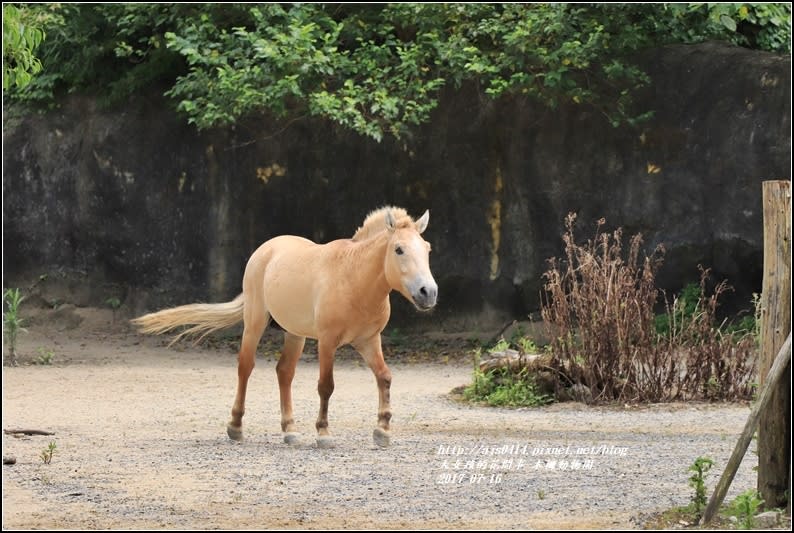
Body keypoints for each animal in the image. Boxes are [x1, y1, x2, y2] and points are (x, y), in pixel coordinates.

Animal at [132, 206, 436, 446]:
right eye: (399, 249)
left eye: (427, 249)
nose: (428, 293)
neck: (354, 279)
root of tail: (266, 249)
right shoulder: (327, 341)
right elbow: (326, 385)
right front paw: (323, 434)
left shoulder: (369, 340)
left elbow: (384, 377)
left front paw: (382, 431)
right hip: (255, 322)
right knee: (245, 367)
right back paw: (235, 427)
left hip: (295, 333)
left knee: (284, 372)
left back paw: (290, 430)